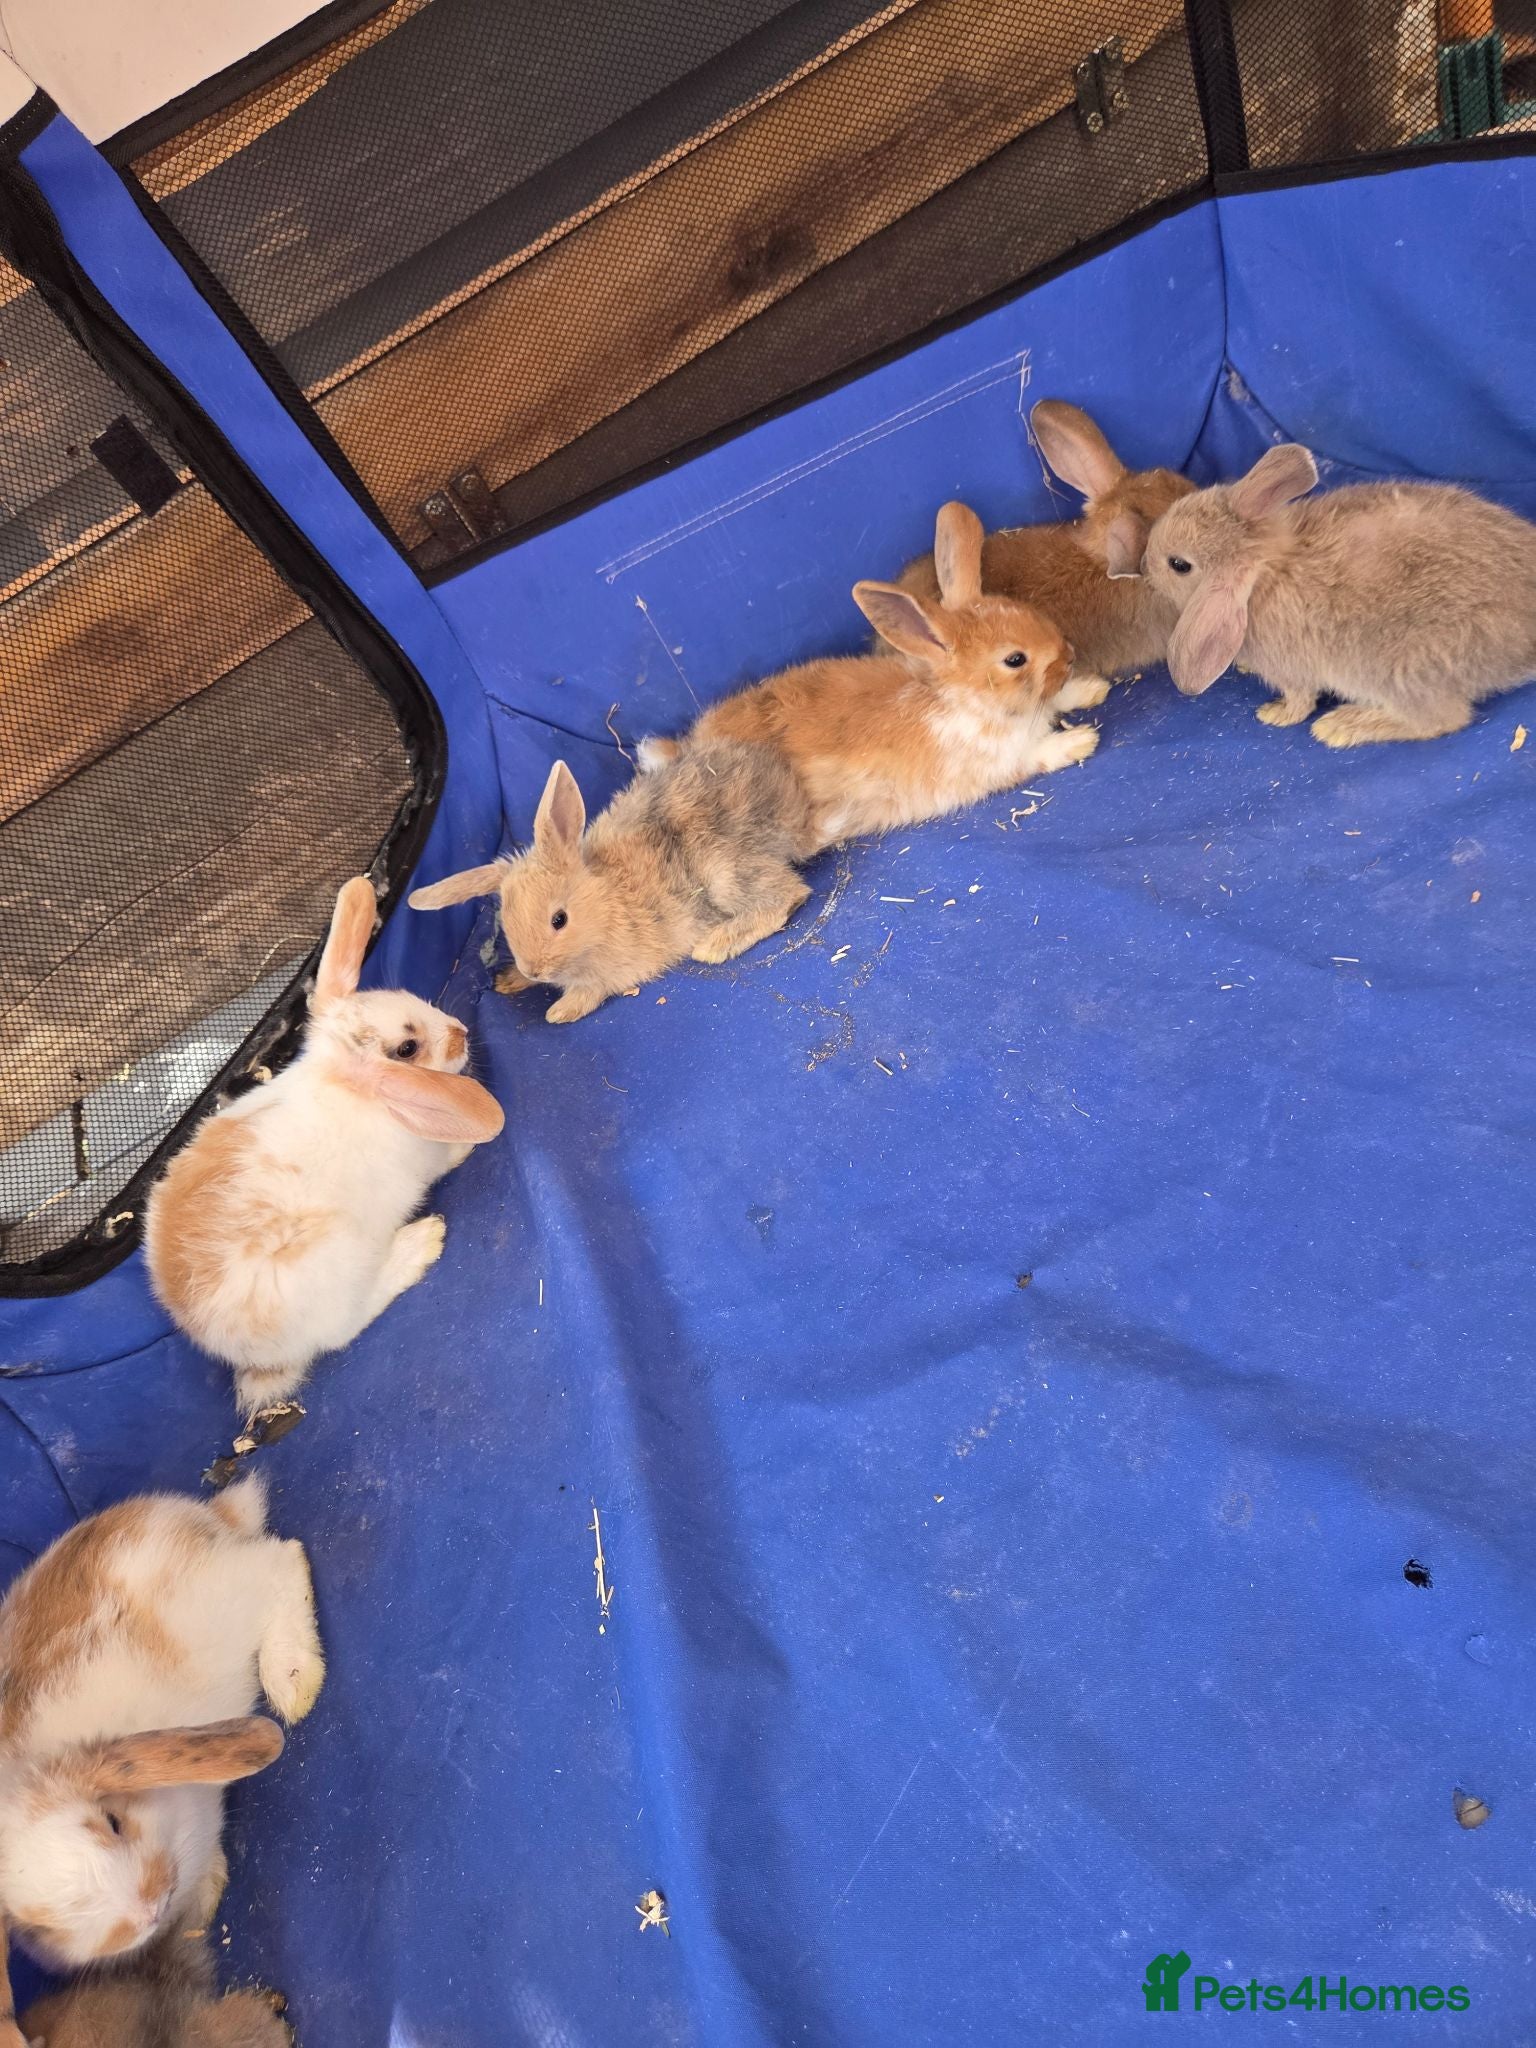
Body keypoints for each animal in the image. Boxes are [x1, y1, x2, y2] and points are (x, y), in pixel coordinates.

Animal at [0, 1475, 320, 2031]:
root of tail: (194, 1516)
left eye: (112, 1822)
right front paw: (208, 1894)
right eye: (39, 1929)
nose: (146, 1911)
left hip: (225, 1600)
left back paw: (293, 1681)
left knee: (281, 1557)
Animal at [144, 876, 504, 1412]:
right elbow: (444, 1158)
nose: (460, 1032)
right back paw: (420, 1243)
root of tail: (247, 1356)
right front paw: (465, 1149)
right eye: (407, 1048)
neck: (351, 1086)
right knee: (344, 1327)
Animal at [409, 741, 816, 1023]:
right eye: (507, 925)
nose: (534, 969)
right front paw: (509, 981)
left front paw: (559, 1012)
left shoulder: (609, 973)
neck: (604, 906)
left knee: (789, 894)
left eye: (559, 920)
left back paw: (713, 946)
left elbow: (589, 993)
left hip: (723, 874)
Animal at [635, 500, 1097, 851]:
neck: (963, 697)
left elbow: (1058, 698)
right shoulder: (998, 761)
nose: (1071, 655)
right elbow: (1036, 755)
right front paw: (1081, 741)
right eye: (1015, 660)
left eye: (1025, 609)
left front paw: (1091, 688)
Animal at [1140, 442, 1536, 745]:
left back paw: (1340, 726)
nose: (1142, 563)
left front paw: (1275, 714)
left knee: (1442, 719)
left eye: (1178, 564)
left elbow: (1300, 701)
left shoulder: (1291, 670)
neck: (1268, 565)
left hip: (1399, 672)